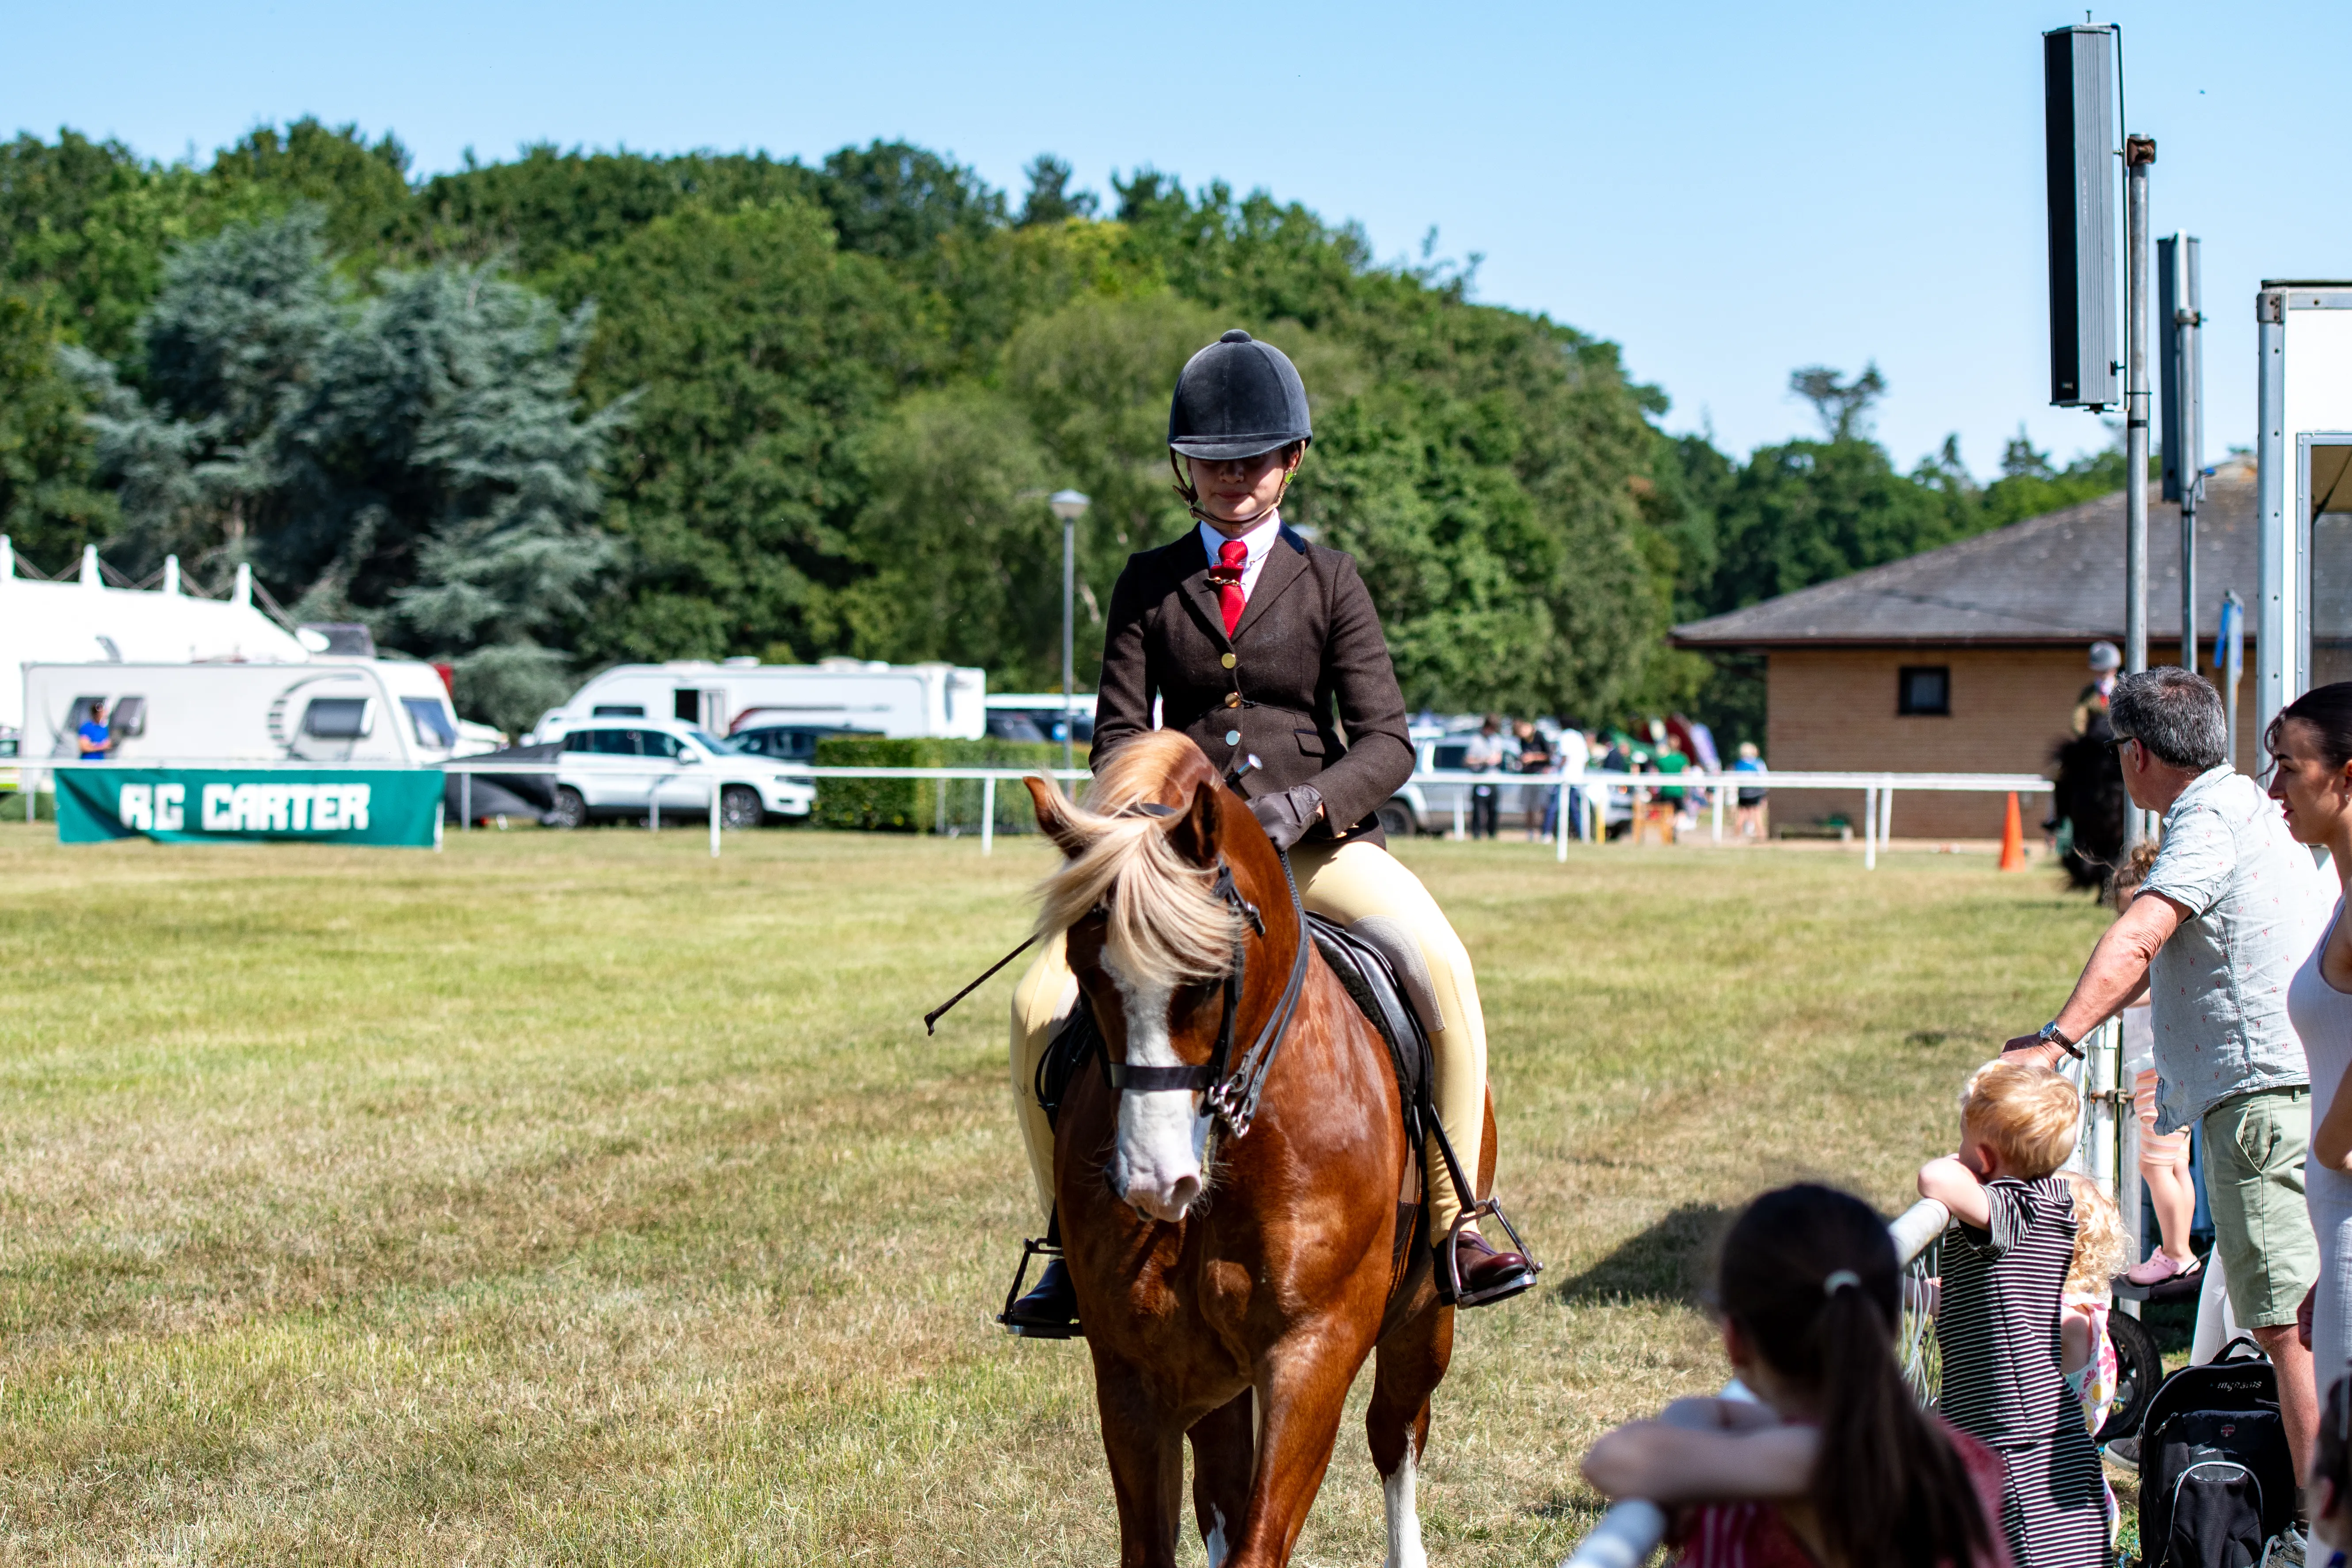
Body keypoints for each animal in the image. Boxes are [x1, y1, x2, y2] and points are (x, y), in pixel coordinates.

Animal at [1021, 730, 1497, 1568]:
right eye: (1082, 972)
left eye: (1212, 977)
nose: (1154, 1180)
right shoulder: (1136, 1370)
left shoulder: (1313, 1351)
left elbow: (1260, 1537)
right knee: (1223, 1484)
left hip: (1422, 1317)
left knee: (1396, 1434)